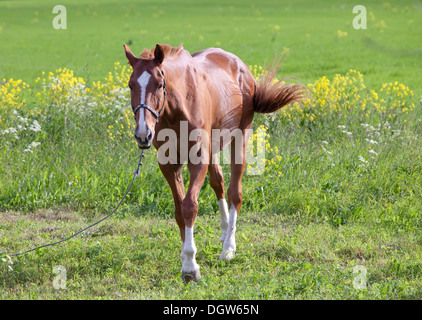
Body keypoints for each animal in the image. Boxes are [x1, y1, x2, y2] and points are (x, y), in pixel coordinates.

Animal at [123, 43, 304, 282]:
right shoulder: (169, 164)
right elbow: (179, 210)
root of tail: (239, 65)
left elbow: (190, 206)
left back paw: (229, 248)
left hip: (240, 137)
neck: (177, 110)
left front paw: (191, 266)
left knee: (235, 192)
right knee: (218, 182)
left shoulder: (198, 159)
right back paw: (225, 230)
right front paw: (185, 257)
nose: (143, 134)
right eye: (130, 85)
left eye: (160, 84)